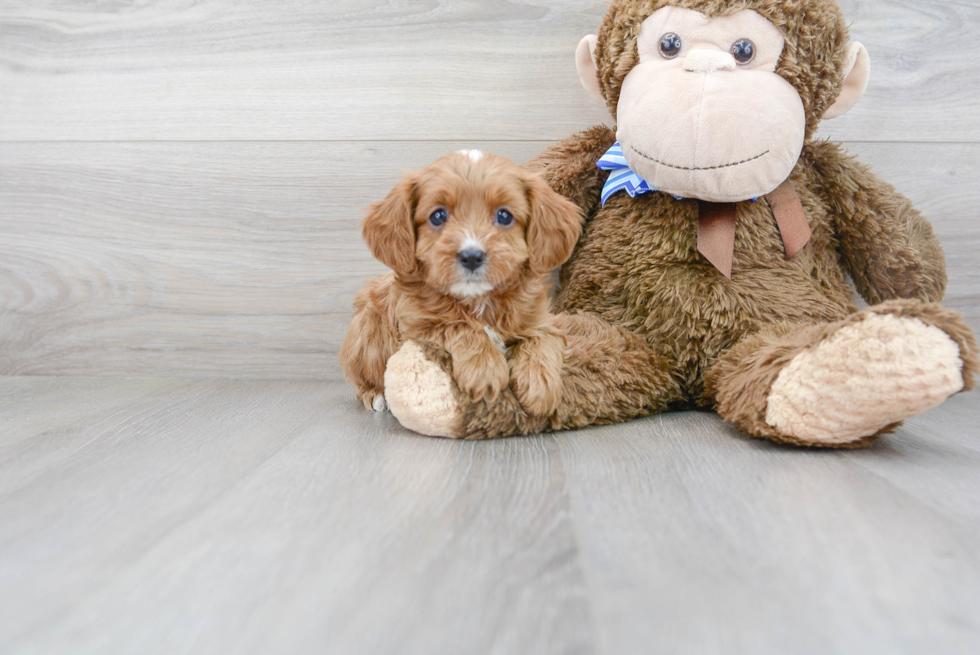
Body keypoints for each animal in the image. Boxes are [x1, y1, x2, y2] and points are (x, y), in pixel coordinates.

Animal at [340, 151, 580, 418]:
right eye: (438, 216)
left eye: (504, 216)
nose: (472, 256)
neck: (478, 300)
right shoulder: (418, 324)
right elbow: (459, 325)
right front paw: (485, 370)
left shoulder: (544, 320)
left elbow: (542, 340)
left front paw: (541, 386)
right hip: (367, 334)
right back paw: (376, 394)